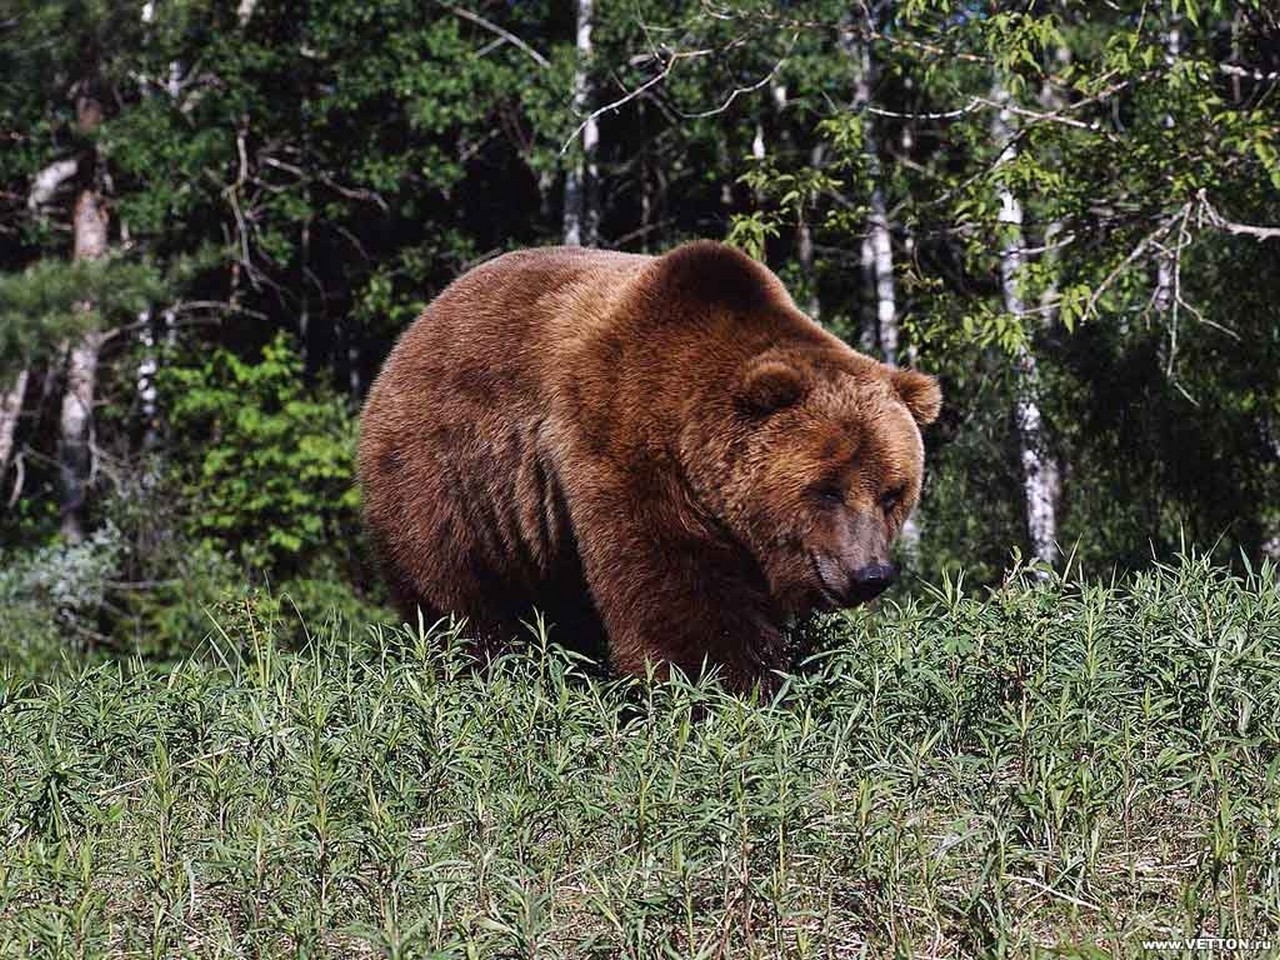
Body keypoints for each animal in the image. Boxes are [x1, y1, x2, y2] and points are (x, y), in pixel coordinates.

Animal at [360, 239, 942, 691]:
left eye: (893, 493)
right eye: (826, 489)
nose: (870, 574)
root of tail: (413, 331)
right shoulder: (623, 446)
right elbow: (676, 595)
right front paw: (731, 687)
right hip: (449, 480)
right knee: (459, 596)